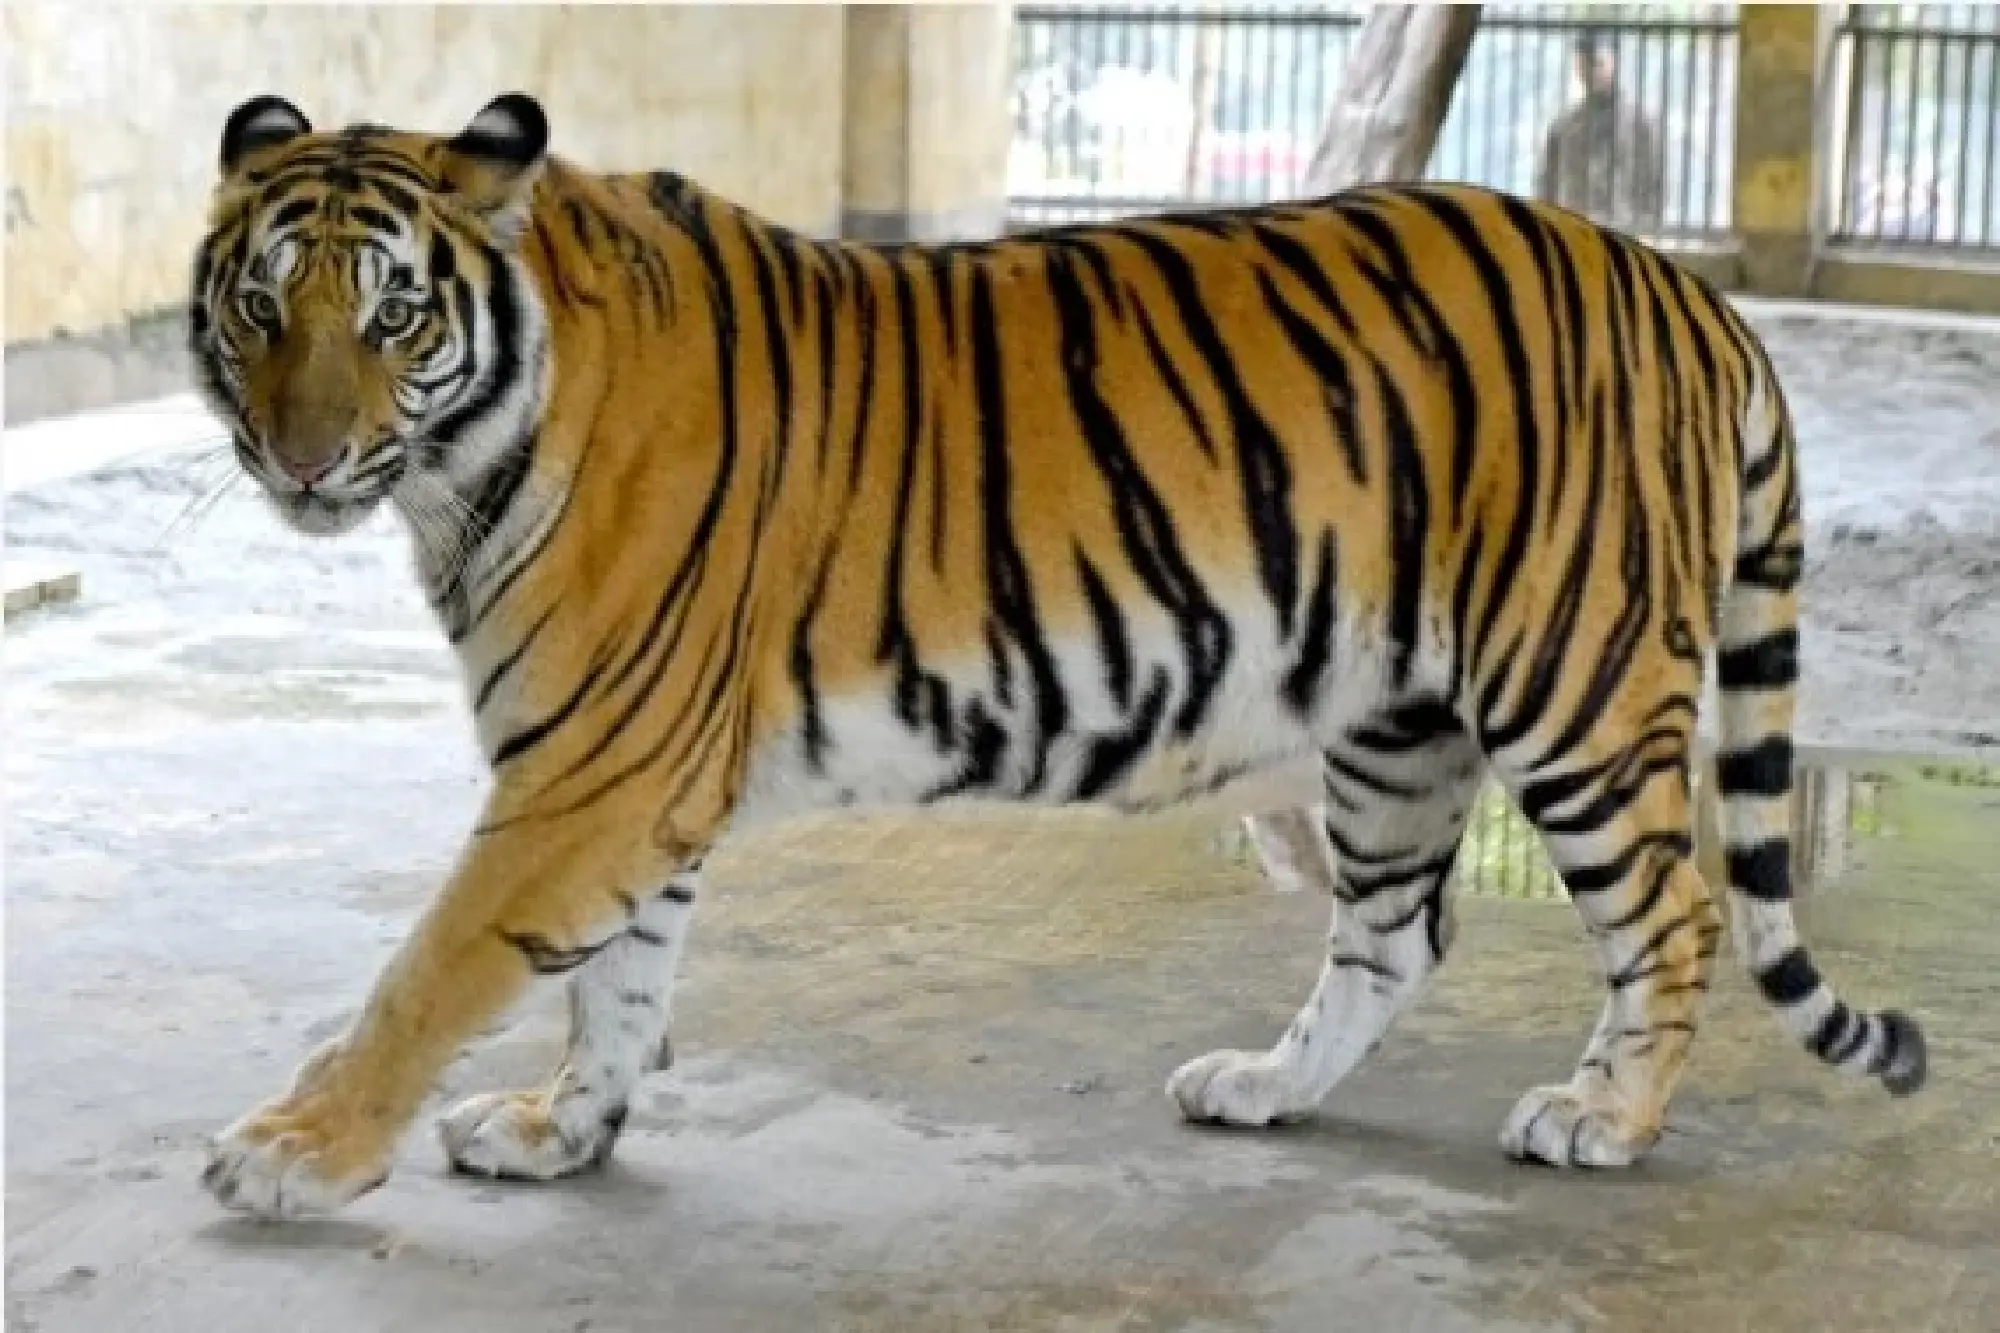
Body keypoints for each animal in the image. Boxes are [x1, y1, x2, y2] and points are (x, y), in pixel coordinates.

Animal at [189, 91, 1926, 1219]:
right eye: (261, 308)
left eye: (397, 315)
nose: (299, 459)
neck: (463, 464)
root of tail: (1682, 283)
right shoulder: (634, 782)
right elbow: (617, 981)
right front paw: (565, 1130)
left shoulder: (591, 773)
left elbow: (432, 970)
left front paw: (290, 1150)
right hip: (1397, 722)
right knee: (1396, 935)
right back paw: (1265, 1087)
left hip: (1576, 686)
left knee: (1676, 911)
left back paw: (1603, 1117)